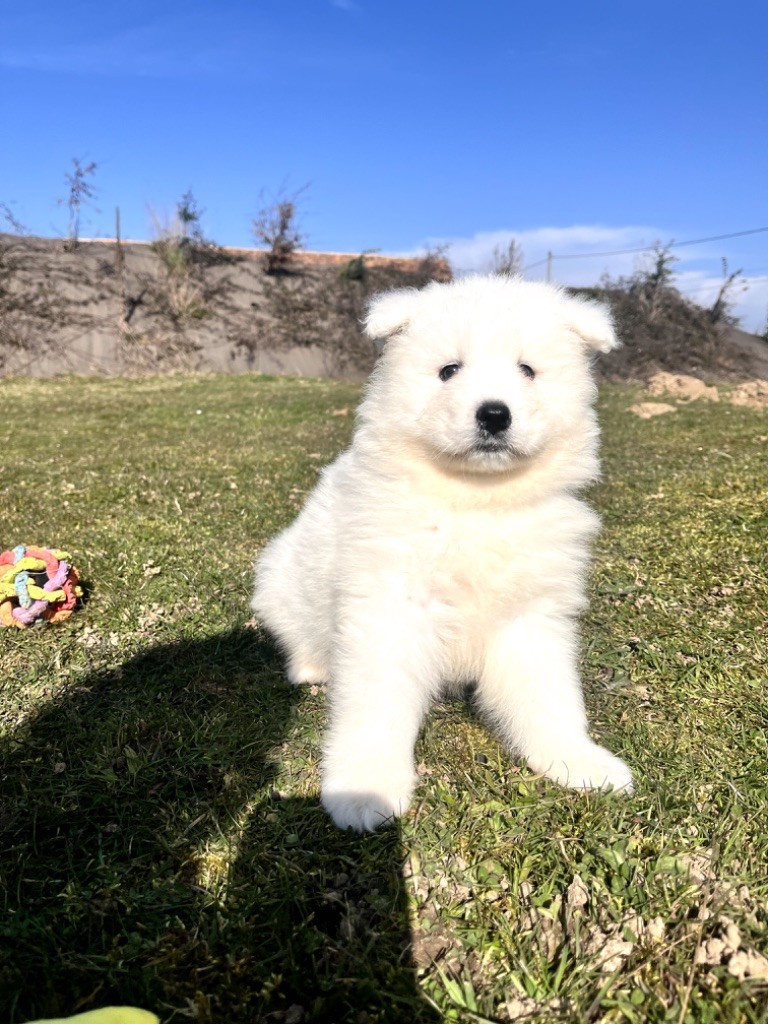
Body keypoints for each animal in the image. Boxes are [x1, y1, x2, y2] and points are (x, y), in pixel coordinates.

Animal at [252, 274, 630, 831]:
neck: (475, 500)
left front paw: (578, 760)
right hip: (280, 578)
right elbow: (377, 705)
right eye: (449, 370)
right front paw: (365, 788)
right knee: (296, 637)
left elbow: (550, 696)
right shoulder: (391, 609)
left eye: (527, 370)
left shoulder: (531, 616)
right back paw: (312, 667)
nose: (494, 414)